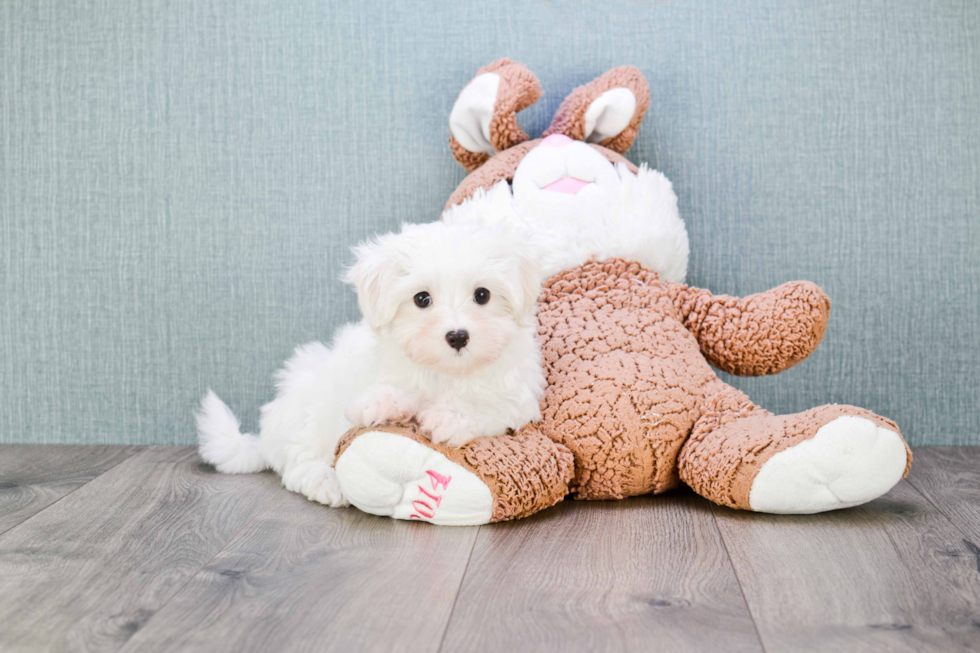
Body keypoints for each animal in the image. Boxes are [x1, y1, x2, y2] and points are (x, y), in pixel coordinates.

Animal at [195, 219, 548, 504]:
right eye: (422, 299)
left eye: (482, 295)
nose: (458, 336)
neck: (445, 372)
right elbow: (381, 392)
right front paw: (382, 403)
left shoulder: (518, 399)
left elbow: (487, 404)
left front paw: (450, 417)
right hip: (307, 411)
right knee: (297, 464)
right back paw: (326, 482)